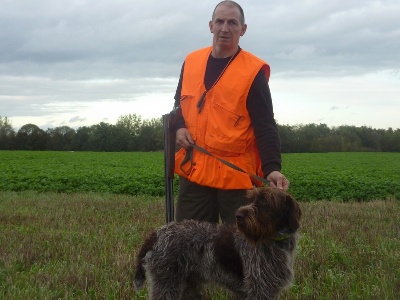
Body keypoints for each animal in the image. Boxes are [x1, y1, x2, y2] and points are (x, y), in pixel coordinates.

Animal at [134, 186, 300, 298]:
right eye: (251, 199)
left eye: (265, 201)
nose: (238, 215)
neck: (274, 240)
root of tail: (158, 233)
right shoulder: (258, 289)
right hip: (167, 283)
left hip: (186, 284)